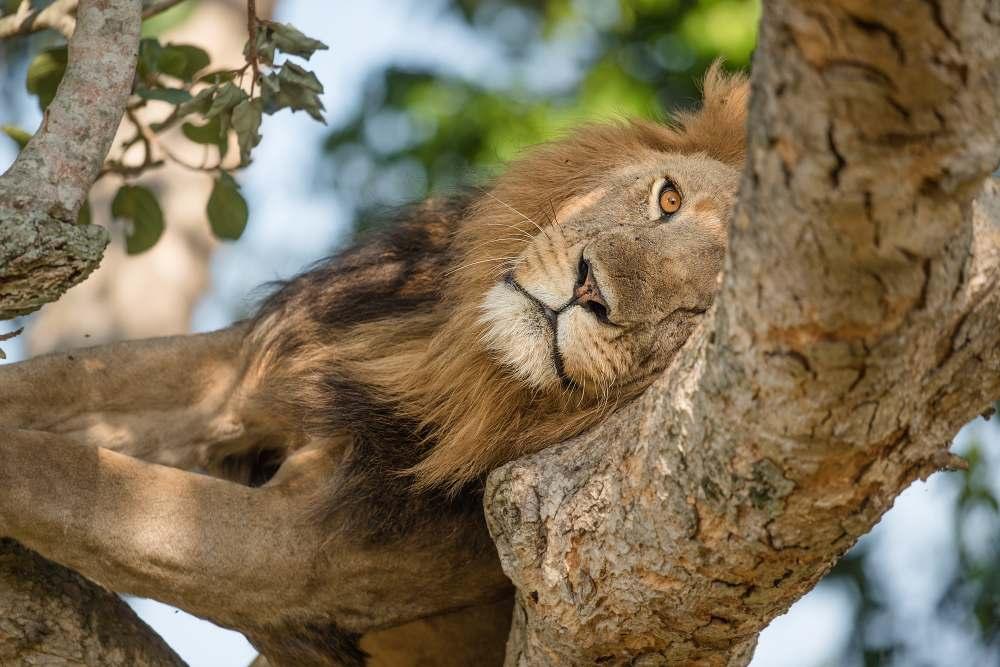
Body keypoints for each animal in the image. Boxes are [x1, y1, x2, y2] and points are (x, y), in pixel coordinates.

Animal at [0, 65, 748, 664]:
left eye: (695, 315)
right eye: (668, 200)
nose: (591, 290)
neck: (451, 373)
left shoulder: (300, 556)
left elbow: (66, 477)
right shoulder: (237, 375)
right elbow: (56, 387)